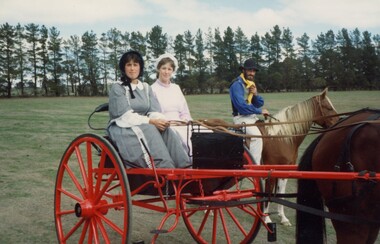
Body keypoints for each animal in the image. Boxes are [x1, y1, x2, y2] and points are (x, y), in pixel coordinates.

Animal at [260, 87, 340, 225]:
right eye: (328, 107)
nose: (338, 123)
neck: (281, 137)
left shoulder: (284, 170)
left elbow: (280, 192)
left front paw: (283, 217)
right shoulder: (270, 171)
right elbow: (268, 192)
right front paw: (267, 218)